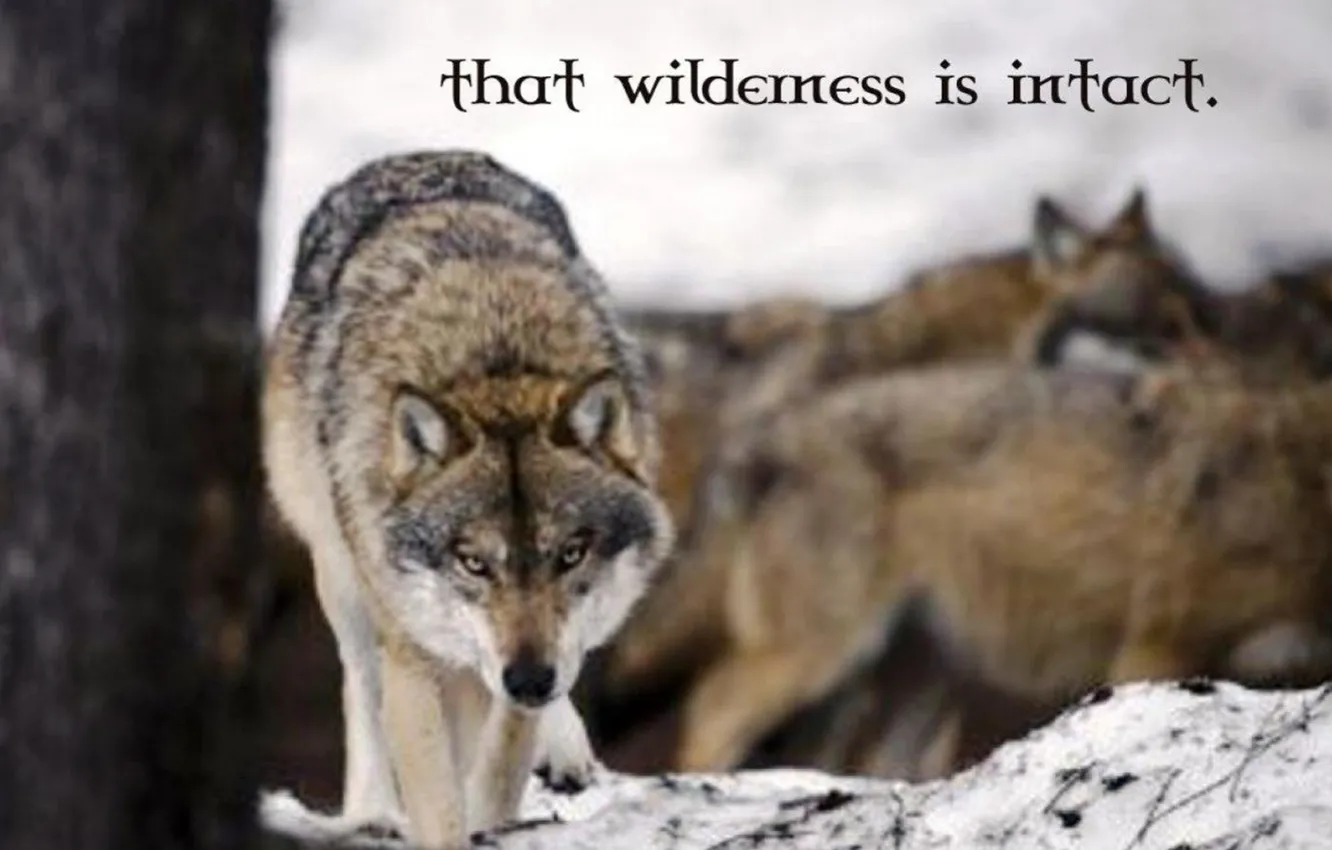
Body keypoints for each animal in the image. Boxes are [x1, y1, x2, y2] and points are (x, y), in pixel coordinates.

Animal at [262, 151, 674, 848]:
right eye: (473, 562)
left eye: (570, 553)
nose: (529, 679)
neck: (492, 358)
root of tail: (415, 157)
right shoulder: (413, 654)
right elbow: (436, 798)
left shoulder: (525, 668)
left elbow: (501, 762)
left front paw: (499, 799)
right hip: (339, 570)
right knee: (359, 682)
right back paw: (371, 810)